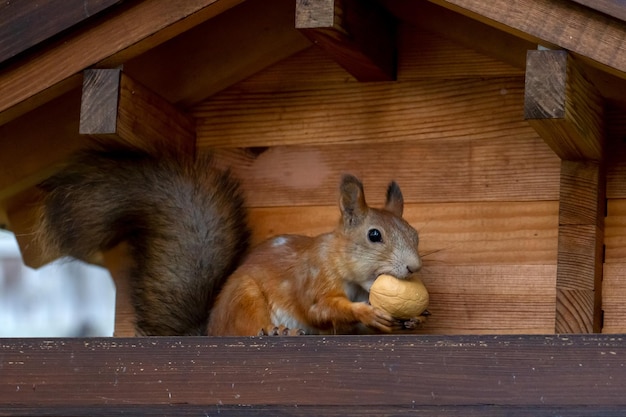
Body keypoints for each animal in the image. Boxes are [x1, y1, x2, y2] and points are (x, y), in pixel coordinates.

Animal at [207, 174, 422, 336]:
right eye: (374, 235)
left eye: (415, 234)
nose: (414, 267)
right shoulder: (316, 277)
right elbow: (318, 310)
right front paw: (364, 311)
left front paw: (415, 318)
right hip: (243, 298)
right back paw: (278, 331)